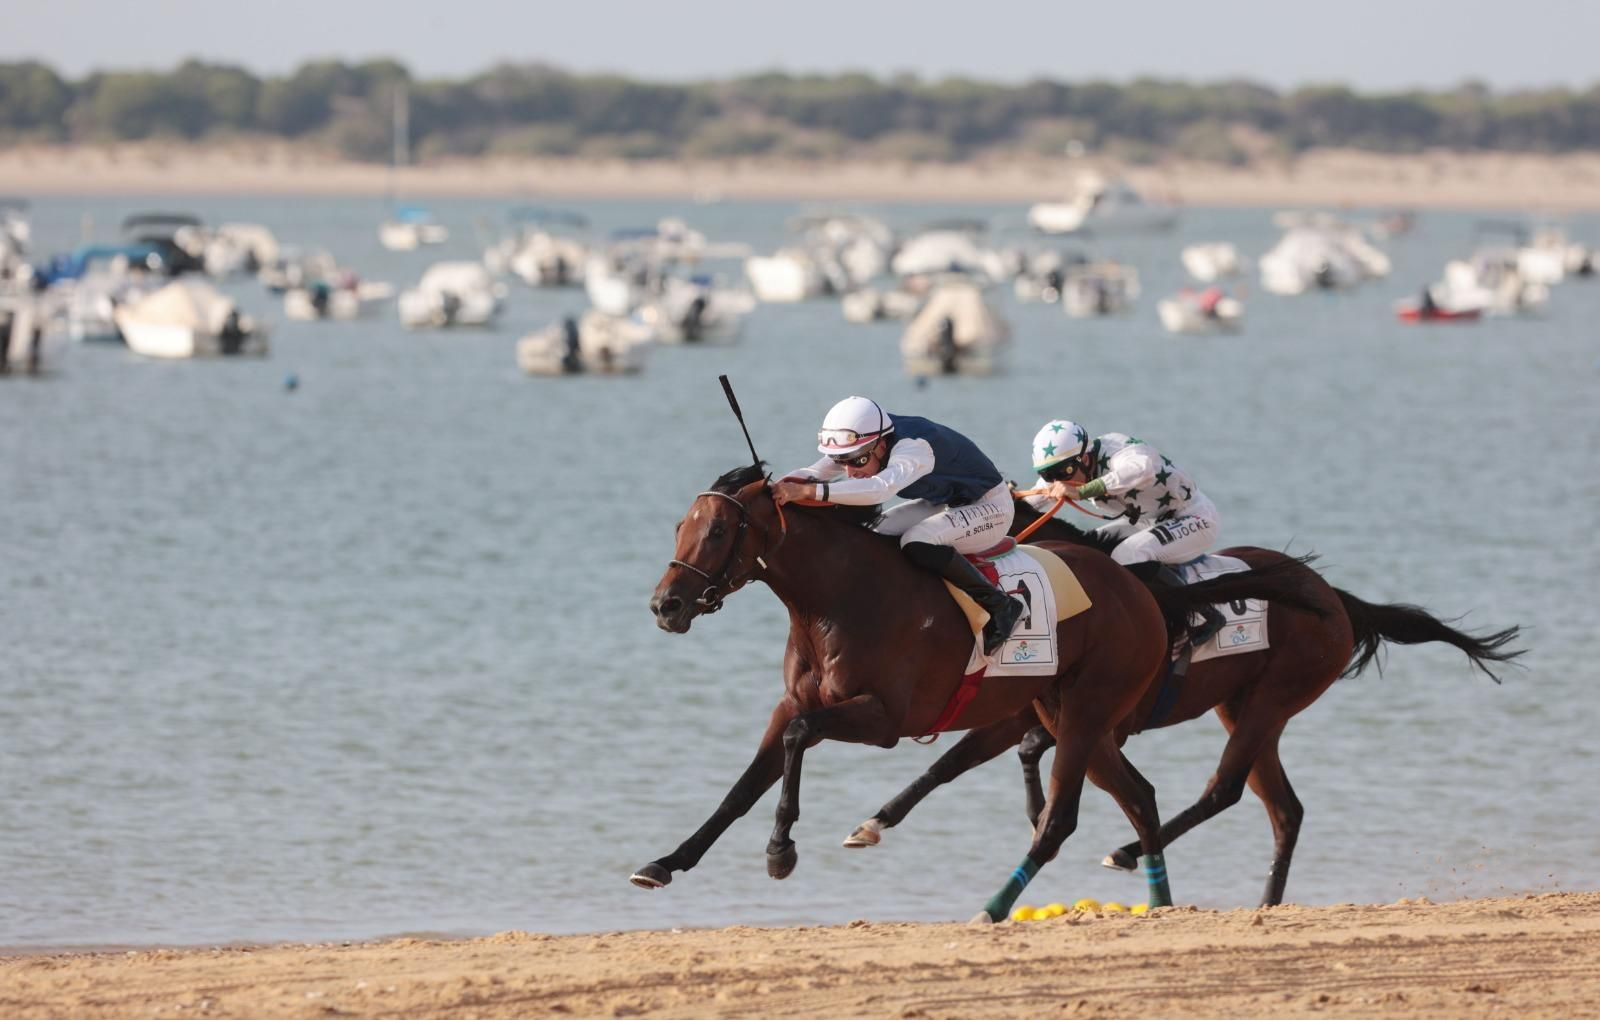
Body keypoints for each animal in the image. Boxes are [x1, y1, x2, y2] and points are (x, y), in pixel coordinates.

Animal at [636, 464, 1326, 922]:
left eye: (718, 531)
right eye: (678, 526)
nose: (666, 606)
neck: (840, 597)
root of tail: (1143, 592)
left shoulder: (884, 718)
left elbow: (802, 743)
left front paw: (781, 850)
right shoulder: (794, 702)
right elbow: (743, 786)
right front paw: (665, 862)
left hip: (1102, 711)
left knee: (1068, 817)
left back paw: (996, 907)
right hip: (1079, 715)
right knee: (1142, 796)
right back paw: (1157, 900)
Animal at [842, 495, 1523, 907]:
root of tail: (1334, 597)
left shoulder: (1089, 716)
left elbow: (1029, 755)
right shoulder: (1028, 713)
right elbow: (954, 762)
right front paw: (876, 821)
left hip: (1272, 698)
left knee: (1225, 789)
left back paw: (1126, 853)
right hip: (1246, 706)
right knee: (1285, 808)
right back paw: (1266, 902)